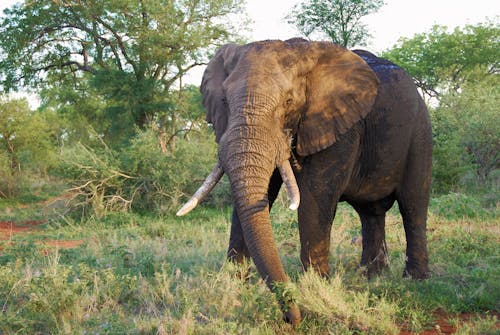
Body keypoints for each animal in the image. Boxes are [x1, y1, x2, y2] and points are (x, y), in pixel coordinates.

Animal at [178, 38, 432, 326]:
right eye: (224, 101)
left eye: (289, 101)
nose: (292, 317)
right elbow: (258, 197)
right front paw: (234, 290)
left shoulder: (338, 125)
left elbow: (314, 198)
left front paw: (315, 292)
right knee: (370, 213)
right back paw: (371, 276)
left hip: (420, 131)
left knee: (413, 204)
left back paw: (414, 280)